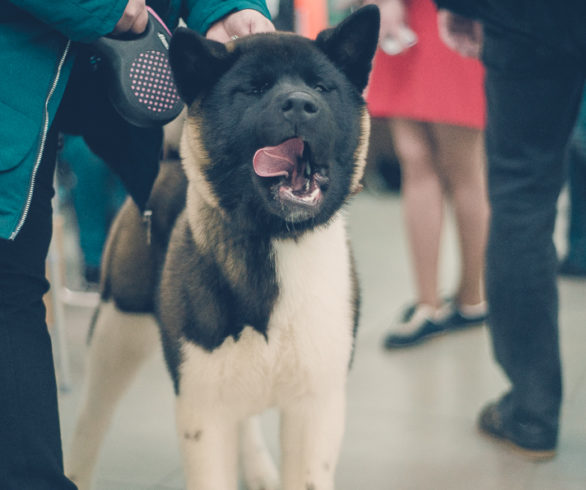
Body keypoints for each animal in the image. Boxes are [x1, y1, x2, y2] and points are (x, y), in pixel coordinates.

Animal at [65, 5, 378, 488]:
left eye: (322, 87)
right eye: (254, 89)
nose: (300, 104)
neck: (274, 241)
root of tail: (168, 164)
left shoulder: (315, 410)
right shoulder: (202, 414)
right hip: (119, 329)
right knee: (91, 417)